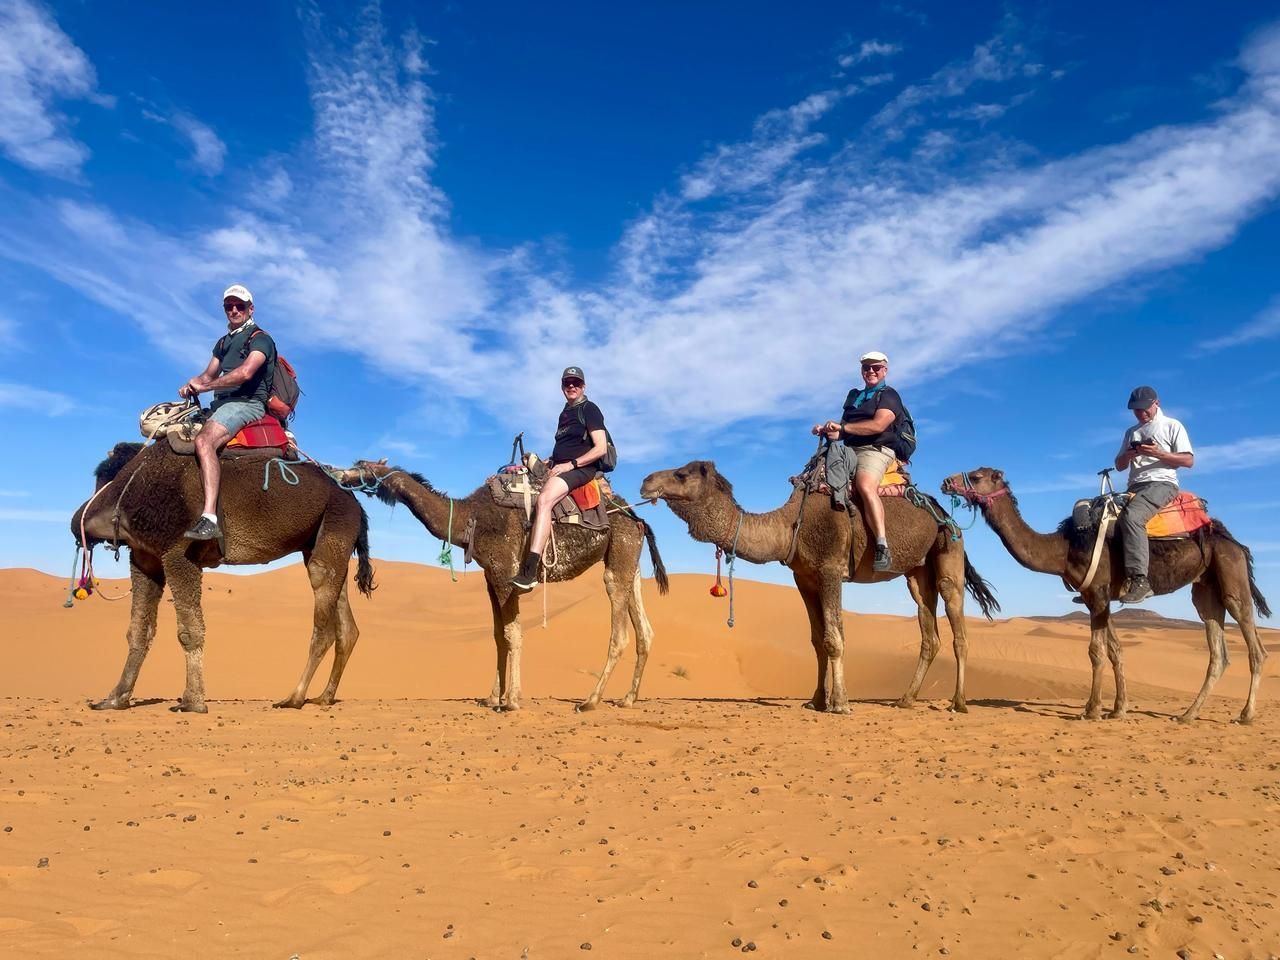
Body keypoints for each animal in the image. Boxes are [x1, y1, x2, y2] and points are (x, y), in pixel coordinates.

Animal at [72, 442, 375, 713]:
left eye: (103, 478)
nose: (78, 521)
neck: (137, 479)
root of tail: (356, 504)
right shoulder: (145, 559)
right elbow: (138, 631)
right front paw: (114, 698)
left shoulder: (178, 553)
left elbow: (189, 632)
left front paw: (192, 701)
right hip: (323, 540)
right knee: (345, 622)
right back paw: (324, 697)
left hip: (335, 522)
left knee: (323, 610)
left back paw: (294, 698)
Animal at [334, 461, 669, 711]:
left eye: (361, 465)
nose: (336, 473)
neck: (470, 518)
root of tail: (637, 519)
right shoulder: (490, 577)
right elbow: (497, 636)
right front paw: (492, 696)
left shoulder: (505, 571)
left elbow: (513, 634)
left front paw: (512, 701)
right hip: (628, 561)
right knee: (645, 630)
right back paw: (627, 699)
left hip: (619, 553)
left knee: (620, 633)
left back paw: (590, 700)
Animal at [639, 461, 999, 714]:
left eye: (682, 474)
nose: (645, 482)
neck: (789, 527)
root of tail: (941, 511)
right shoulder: (804, 579)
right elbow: (817, 641)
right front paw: (816, 700)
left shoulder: (830, 570)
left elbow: (834, 638)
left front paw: (840, 703)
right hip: (916, 571)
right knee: (928, 625)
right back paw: (905, 699)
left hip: (949, 549)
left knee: (956, 619)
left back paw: (958, 703)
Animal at [942, 467, 1271, 723]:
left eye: (977, 475)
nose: (946, 481)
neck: (1064, 548)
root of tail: (1235, 543)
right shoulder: (1095, 598)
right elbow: (1115, 651)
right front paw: (1118, 709)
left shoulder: (1099, 593)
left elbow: (1096, 652)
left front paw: (1091, 709)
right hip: (1205, 589)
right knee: (1217, 651)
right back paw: (1188, 714)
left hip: (1232, 577)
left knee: (1255, 646)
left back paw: (1245, 715)